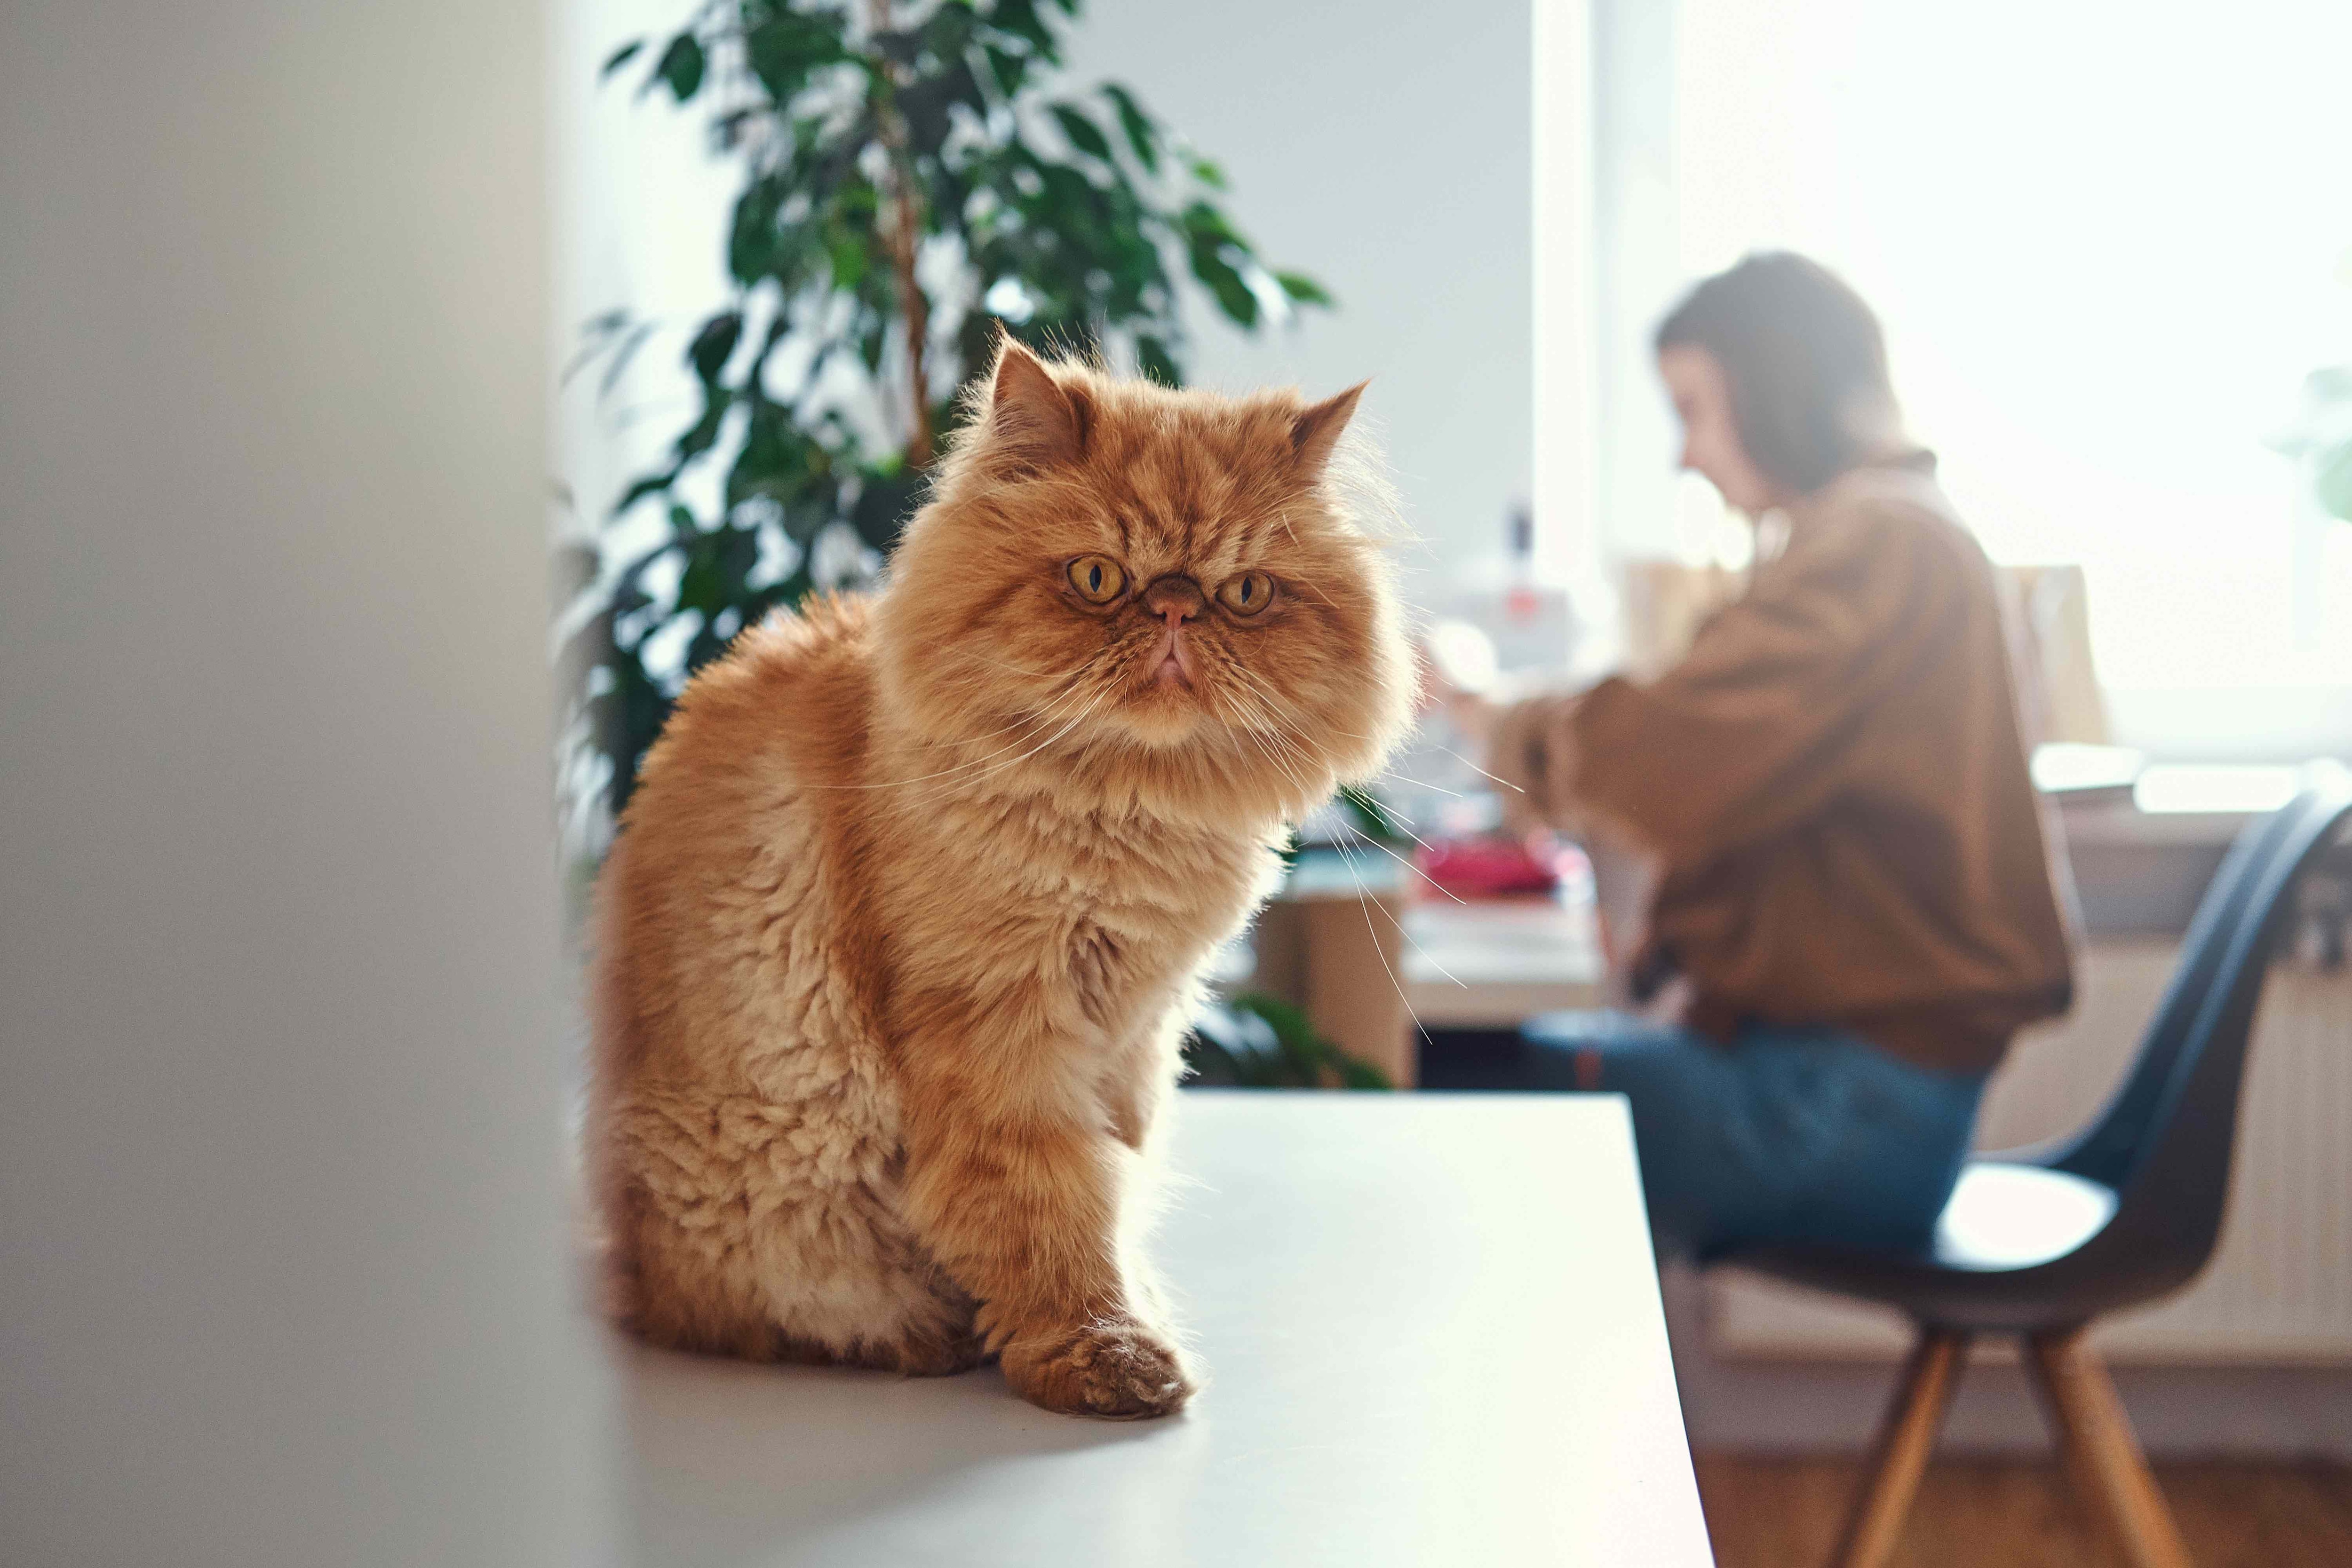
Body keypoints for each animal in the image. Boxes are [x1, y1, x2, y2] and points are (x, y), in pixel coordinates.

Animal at [588, 338, 1411, 1420]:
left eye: (1244, 593)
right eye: (1099, 576)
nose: (1176, 604)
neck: (1126, 813)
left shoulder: (1137, 1035)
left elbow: (1113, 1184)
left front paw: (1131, 1311)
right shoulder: (999, 1030)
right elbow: (1051, 1208)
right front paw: (1107, 1356)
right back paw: (925, 1336)